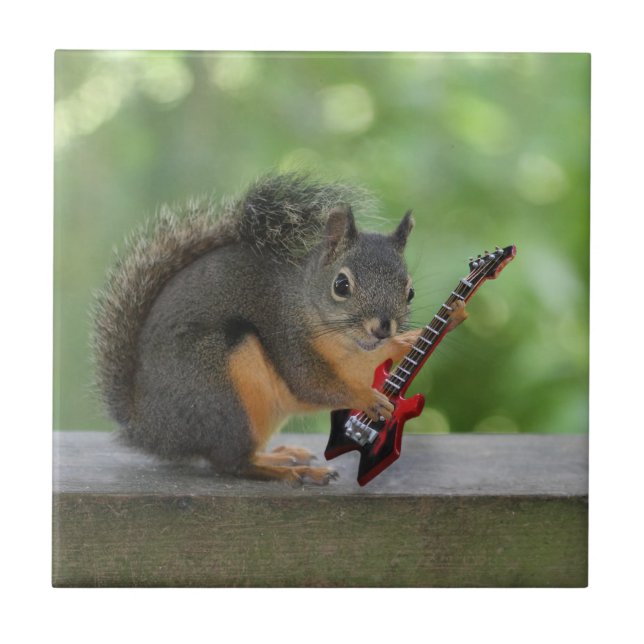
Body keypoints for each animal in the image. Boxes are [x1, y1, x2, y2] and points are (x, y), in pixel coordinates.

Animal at [93, 173, 467, 485]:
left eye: (410, 291)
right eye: (341, 285)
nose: (382, 328)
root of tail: (150, 427)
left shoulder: (363, 357)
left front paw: (435, 326)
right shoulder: (285, 332)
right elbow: (312, 384)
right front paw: (367, 398)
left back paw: (281, 456)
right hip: (218, 391)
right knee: (230, 463)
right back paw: (292, 472)